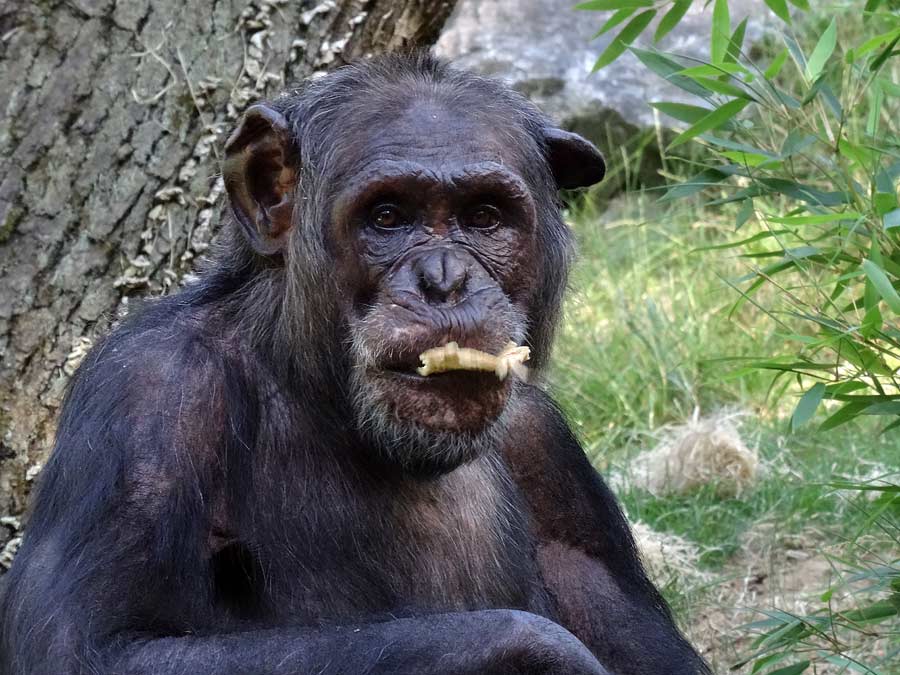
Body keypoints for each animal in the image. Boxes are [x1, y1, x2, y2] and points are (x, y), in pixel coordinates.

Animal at [0, 54, 712, 675]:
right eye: (388, 216)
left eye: (484, 218)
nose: (445, 280)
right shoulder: (145, 395)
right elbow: (95, 646)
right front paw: (543, 652)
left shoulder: (549, 452)